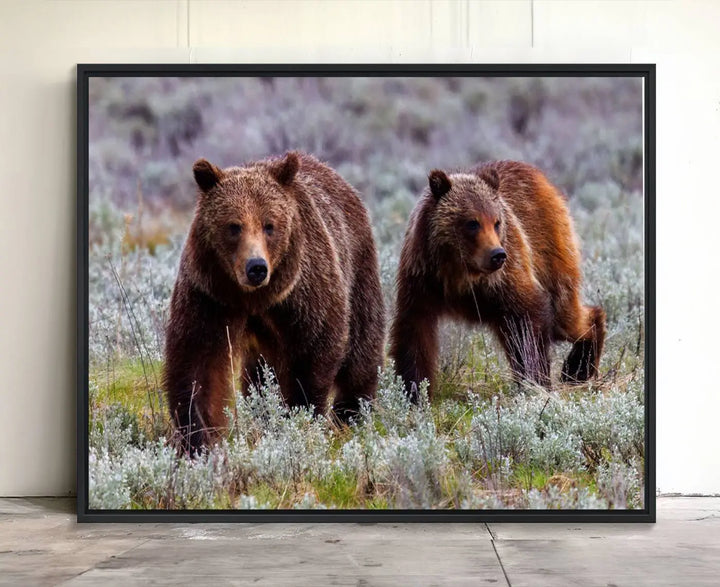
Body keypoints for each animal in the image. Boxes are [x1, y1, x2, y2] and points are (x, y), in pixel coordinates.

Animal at [164, 153, 386, 454]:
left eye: (269, 225)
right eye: (234, 226)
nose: (256, 267)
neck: (255, 298)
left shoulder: (304, 295)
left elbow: (313, 353)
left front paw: (300, 416)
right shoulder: (210, 295)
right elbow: (198, 364)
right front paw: (199, 438)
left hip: (358, 267)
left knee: (362, 347)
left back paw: (350, 412)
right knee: (257, 375)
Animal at [390, 160, 604, 400]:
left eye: (497, 222)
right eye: (472, 222)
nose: (497, 254)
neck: (460, 272)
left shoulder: (507, 278)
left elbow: (528, 321)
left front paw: (535, 380)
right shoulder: (422, 279)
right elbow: (414, 333)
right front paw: (413, 391)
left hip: (549, 248)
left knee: (565, 314)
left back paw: (578, 367)